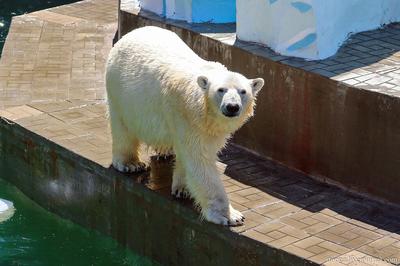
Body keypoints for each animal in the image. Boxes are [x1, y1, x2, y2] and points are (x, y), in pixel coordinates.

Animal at [105, 26, 262, 225]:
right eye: (221, 90)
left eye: (243, 91)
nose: (232, 107)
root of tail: (130, 34)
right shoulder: (187, 117)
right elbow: (199, 160)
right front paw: (229, 216)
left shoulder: (205, 127)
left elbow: (189, 156)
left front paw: (183, 189)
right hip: (120, 91)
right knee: (122, 127)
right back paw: (130, 163)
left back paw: (164, 151)